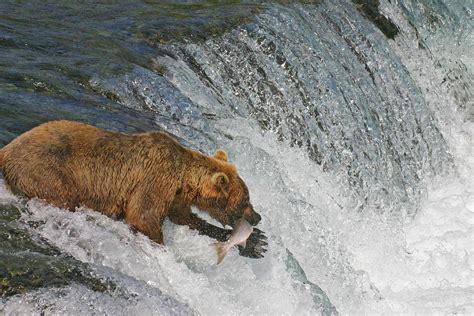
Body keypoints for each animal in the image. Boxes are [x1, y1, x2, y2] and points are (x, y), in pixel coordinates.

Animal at [0, 120, 266, 256]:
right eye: (245, 200)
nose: (258, 216)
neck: (183, 179)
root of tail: (6, 150)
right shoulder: (156, 179)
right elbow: (143, 216)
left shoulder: (174, 196)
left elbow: (185, 218)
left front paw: (257, 242)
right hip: (46, 171)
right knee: (62, 197)